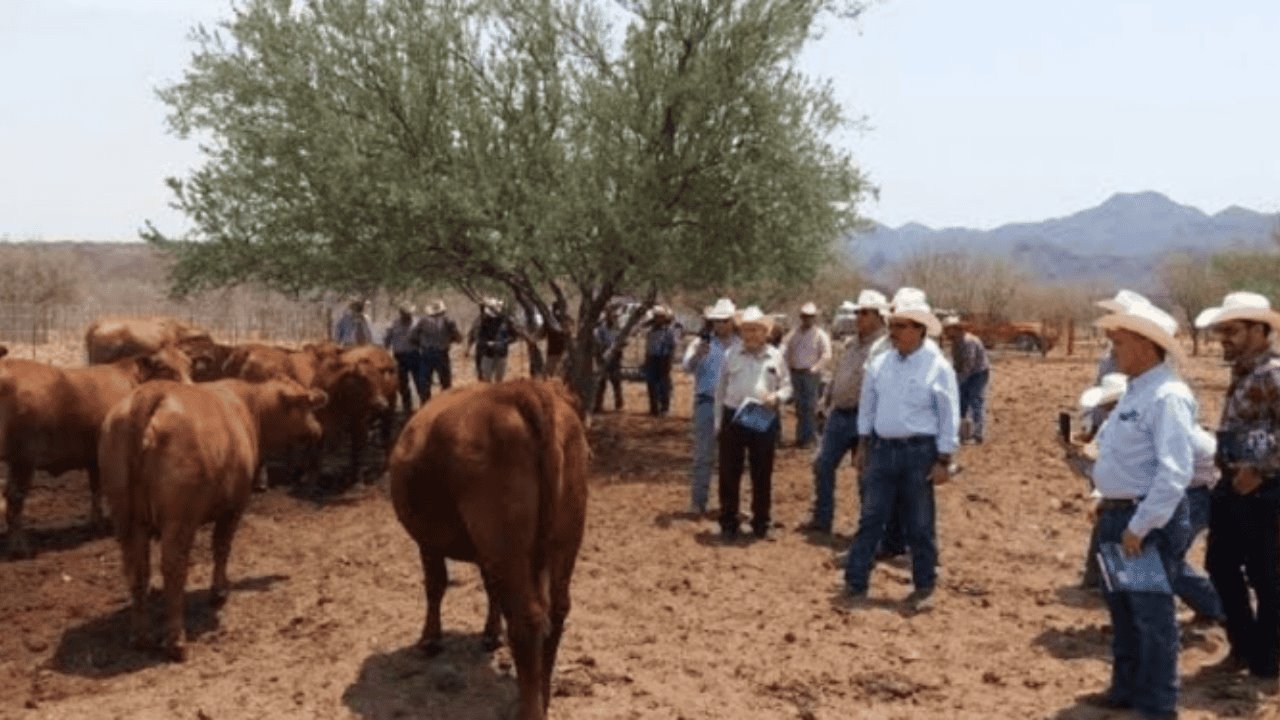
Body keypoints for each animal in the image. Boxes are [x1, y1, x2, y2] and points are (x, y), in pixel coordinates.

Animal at [0, 345, 192, 556]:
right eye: (166, 368)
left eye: (188, 365)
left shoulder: (93, 457)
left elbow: (96, 488)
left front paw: (96, 523)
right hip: (23, 459)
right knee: (15, 496)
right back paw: (19, 546)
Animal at [100, 376, 330, 655]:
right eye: (308, 406)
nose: (319, 430)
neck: (251, 406)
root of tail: (152, 391)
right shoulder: (234, 506)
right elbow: (222, 547)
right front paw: (219, 591)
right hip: (179, 518)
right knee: (173, 566)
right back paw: (176, 640)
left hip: (125, 518)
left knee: (136, 568)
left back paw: (140, 637)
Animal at [389, 379, 588, 712]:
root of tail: (523, 389)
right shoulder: (488, 555)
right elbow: (491, 588)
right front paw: (491, 634)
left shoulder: (428, 541)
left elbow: (435, 584)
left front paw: (430, 639)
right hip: (564, 538)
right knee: (557, 611)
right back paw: (544, 696)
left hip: (506, 543)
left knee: (527, 620)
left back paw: (529, 709)